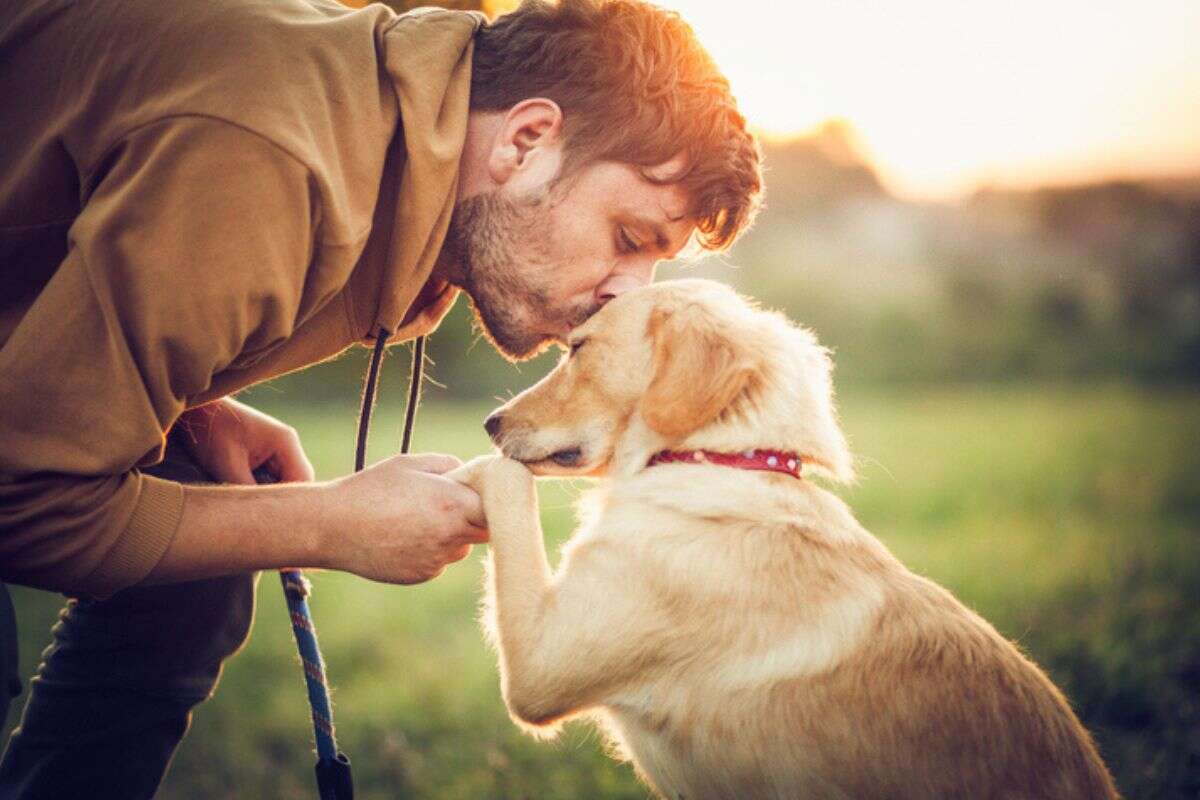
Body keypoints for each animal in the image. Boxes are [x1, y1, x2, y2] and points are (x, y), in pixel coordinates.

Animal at [451, 278, 1113, 796]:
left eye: (578, 349)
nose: (489, 423)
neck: (719, 459)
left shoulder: (540, 669)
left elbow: (508, 482)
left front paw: (460, 472)